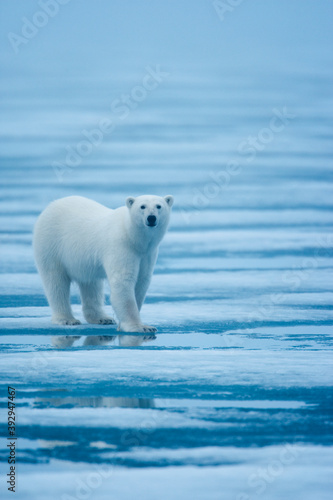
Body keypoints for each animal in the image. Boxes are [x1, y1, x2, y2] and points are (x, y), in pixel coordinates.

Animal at [33, 194, 174, 332]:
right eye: (142, 206)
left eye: (159, 206)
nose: (151, 218)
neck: (132, 236)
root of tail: (51, 205)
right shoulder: (121, 246)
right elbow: (123, 281)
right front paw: (140, 327)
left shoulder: (147, 254)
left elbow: (141, 281)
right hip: (51, 244)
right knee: (55, 282)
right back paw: (67, 319)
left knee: (91, 285)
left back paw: (102, 318)